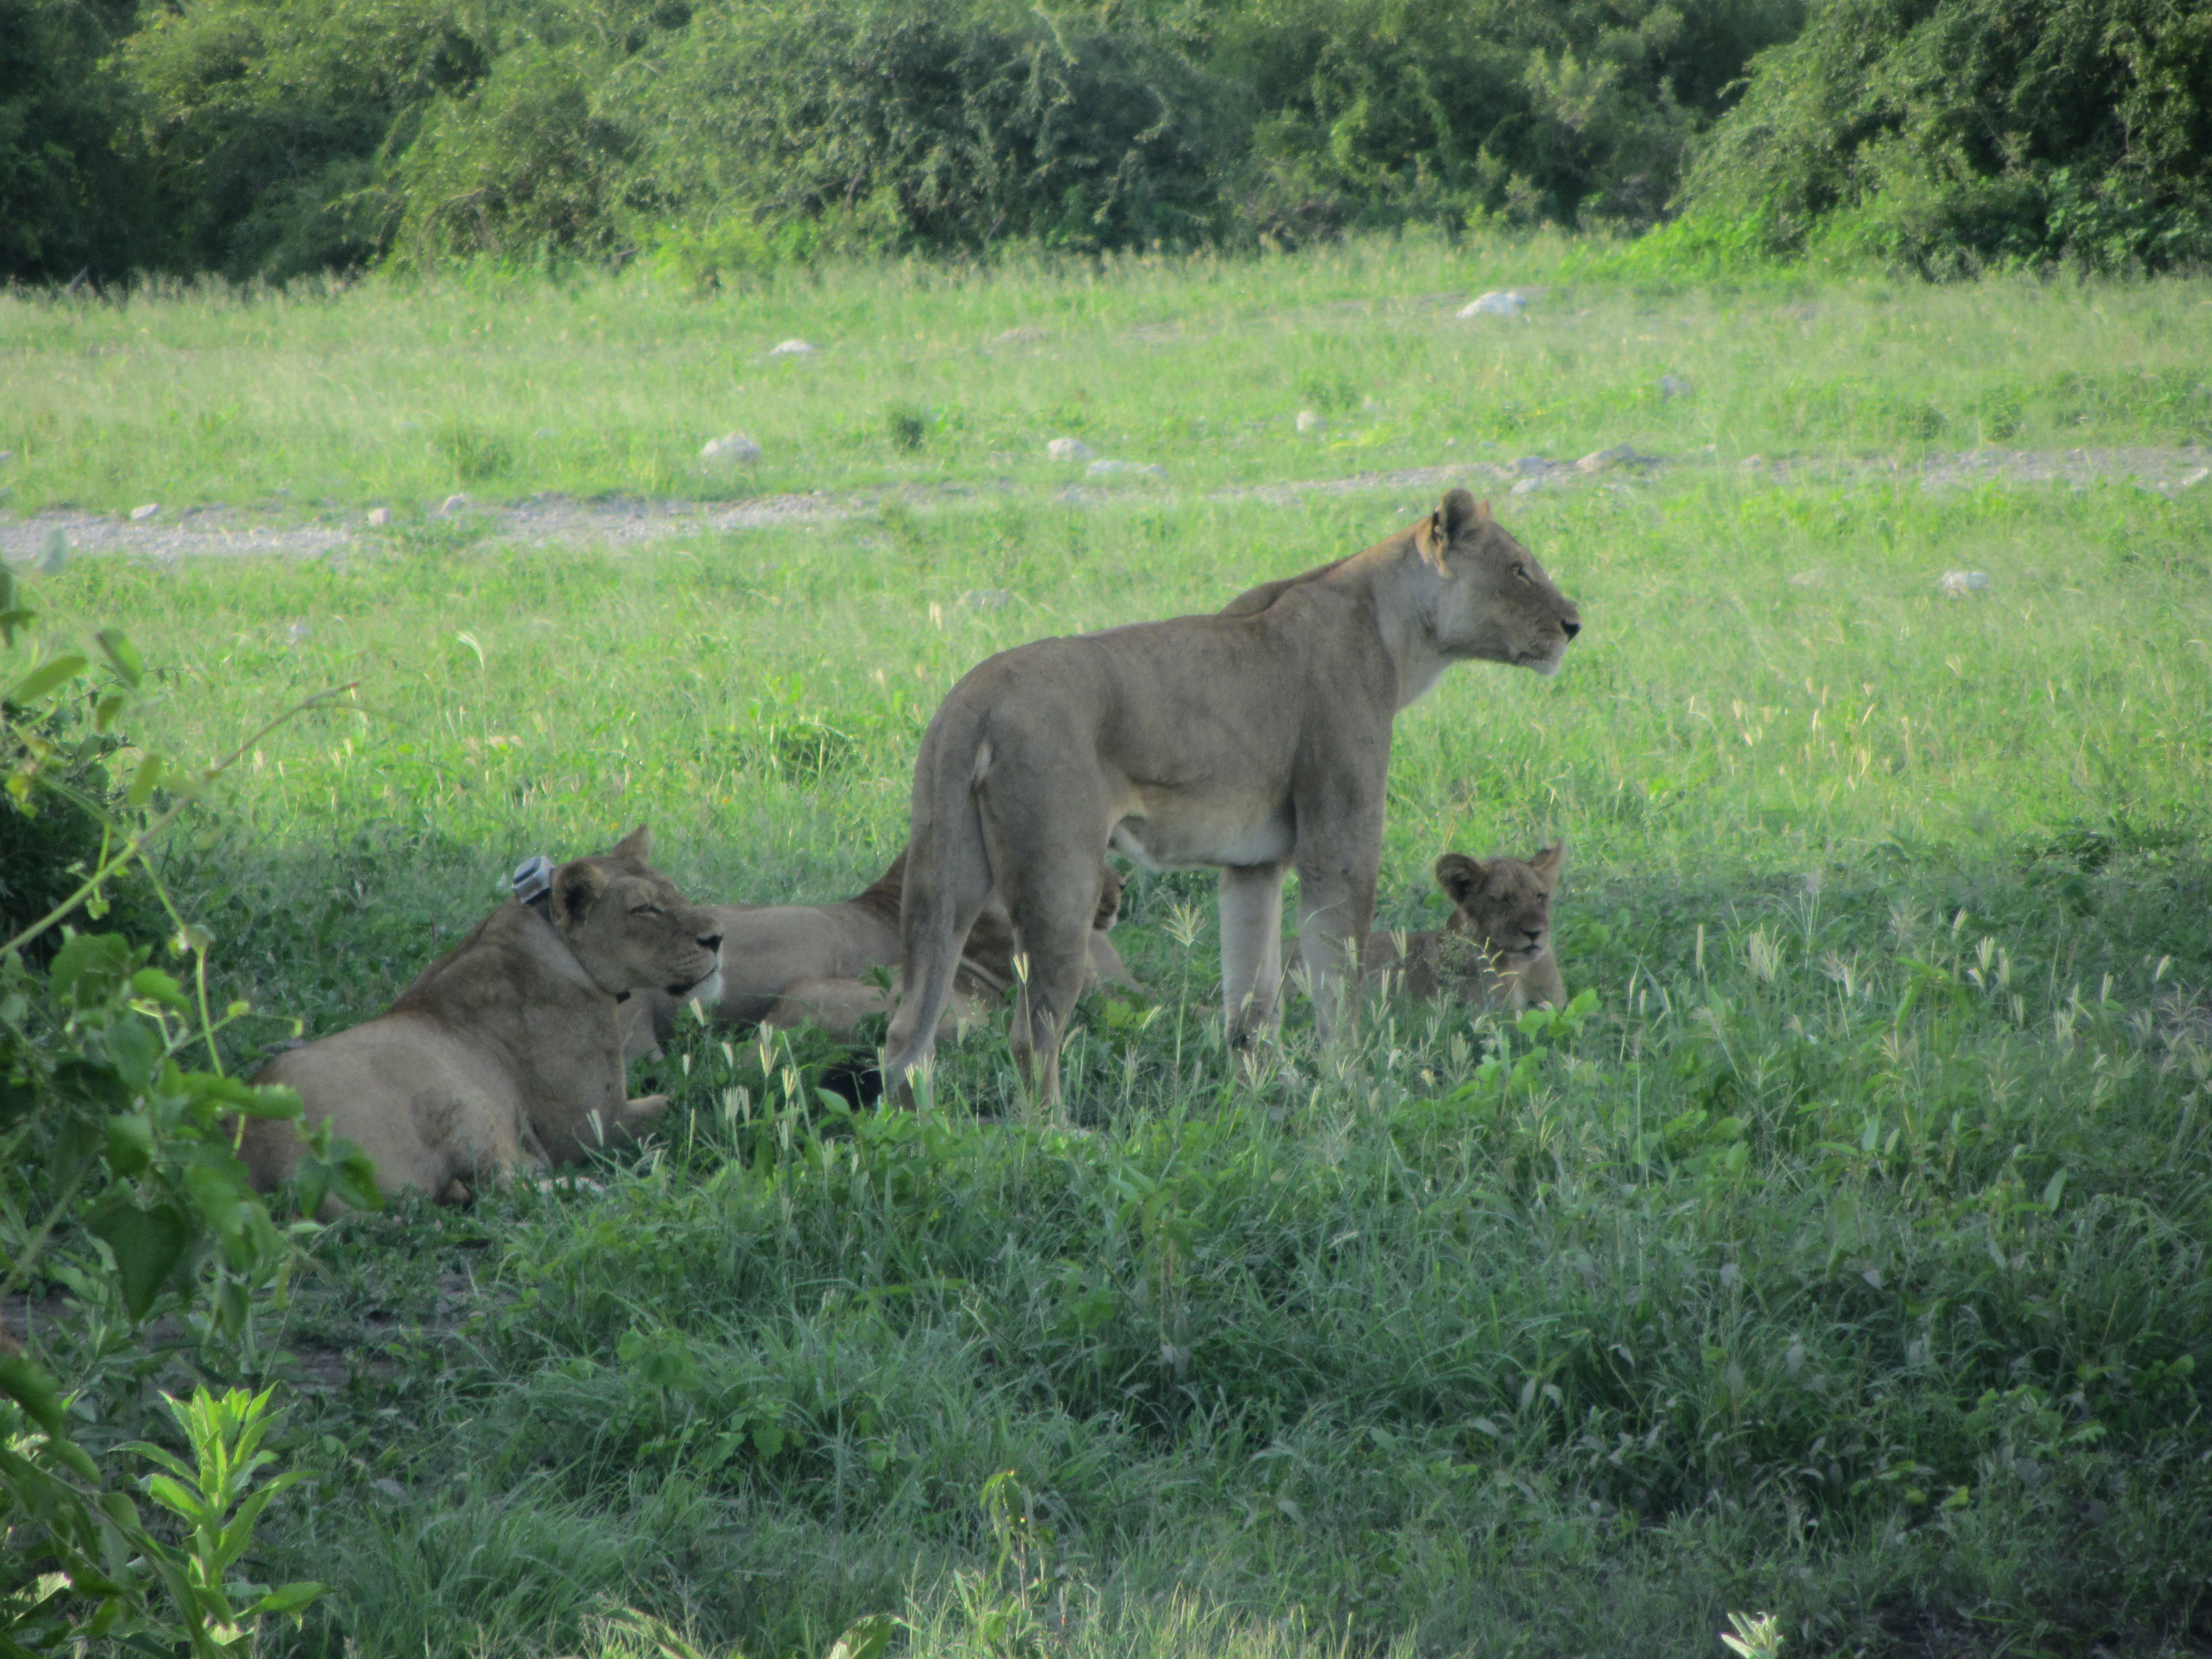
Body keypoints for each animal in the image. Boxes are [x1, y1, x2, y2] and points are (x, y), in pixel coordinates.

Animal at [243, 827, 724, 1203]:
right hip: (457, 1096)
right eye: (644, 909)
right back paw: (595, 1188)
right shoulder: (592, 1127)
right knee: (502, 1187)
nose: (717, 938)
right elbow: (682, 1104)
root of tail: (258, 1163)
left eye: (673, 892)